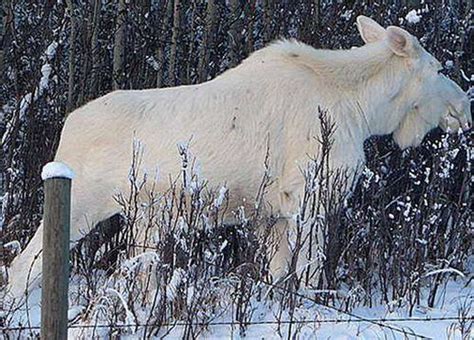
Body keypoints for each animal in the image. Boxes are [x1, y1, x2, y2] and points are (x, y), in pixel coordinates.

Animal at [6, 16, 470, 298]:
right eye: (438, 68)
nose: (464, 106)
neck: (365, 110)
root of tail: (65, 131)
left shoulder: (274, 214)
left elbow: (278, 276)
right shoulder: (309, 195)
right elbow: (309, 274)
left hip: (143, 221)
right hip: (82, 204)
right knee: (21, 267)